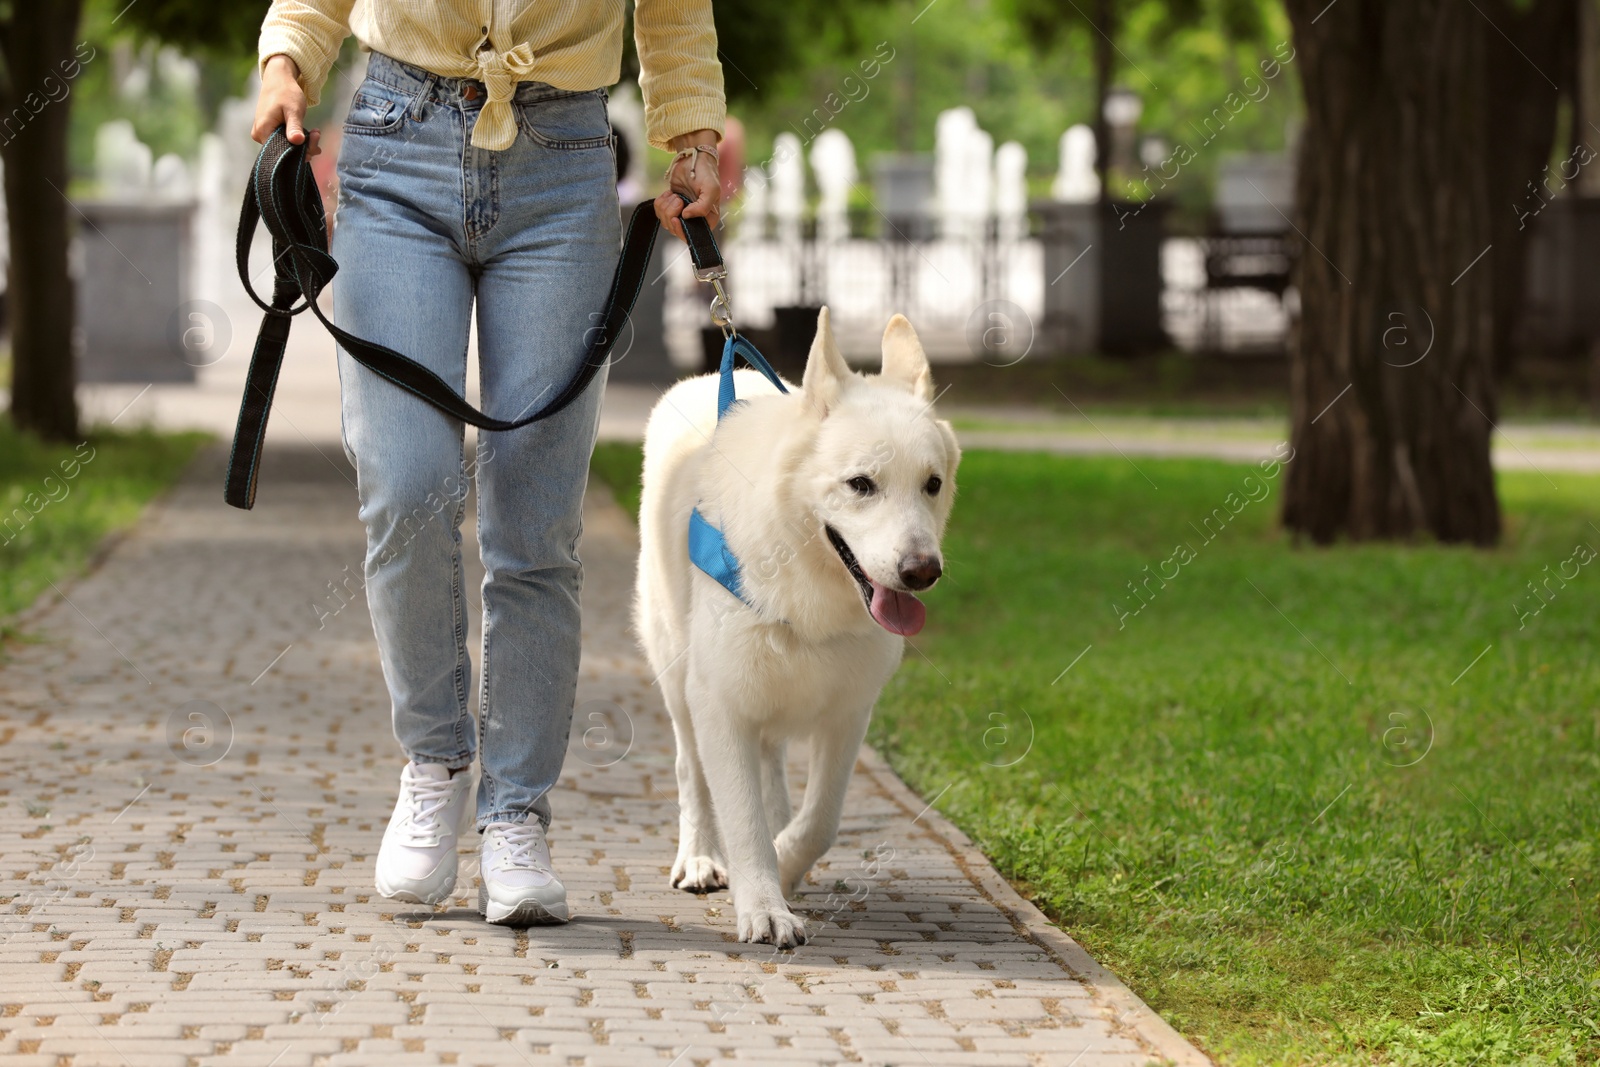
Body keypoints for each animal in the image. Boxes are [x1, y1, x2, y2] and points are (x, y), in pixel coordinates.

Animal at [633, 303, 960, 947]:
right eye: (861, 484)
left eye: (932, 485)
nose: (922, 572)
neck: (811, 595)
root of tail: (706, 380)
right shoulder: (720, 705)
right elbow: (741, 817)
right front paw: (763, 904)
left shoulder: (848, 715)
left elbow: (821, 821)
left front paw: (784, 864)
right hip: (678, 677)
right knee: (691, 773)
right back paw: (701, 857)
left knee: (772, 770)